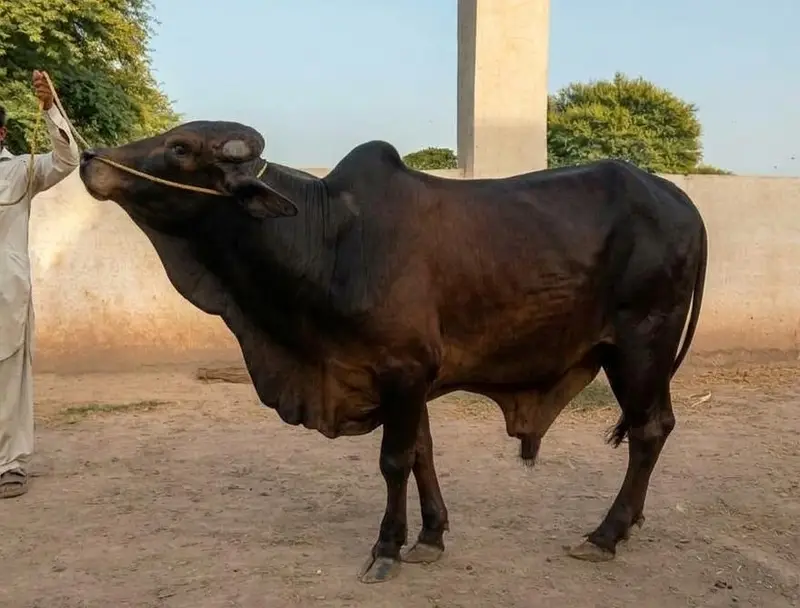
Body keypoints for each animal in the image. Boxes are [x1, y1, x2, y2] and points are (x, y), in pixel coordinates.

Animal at [78, 120, 708, 584]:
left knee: (650, 430)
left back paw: (606, 534)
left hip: (640, 346)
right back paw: (630, 524)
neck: (330, 239)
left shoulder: (404, 371)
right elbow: (423, 452)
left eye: (180, 148)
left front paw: (385, 549)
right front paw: (429, 537)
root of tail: (678, 197)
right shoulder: (407, 380)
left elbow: (394, 460)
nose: (91, 158)